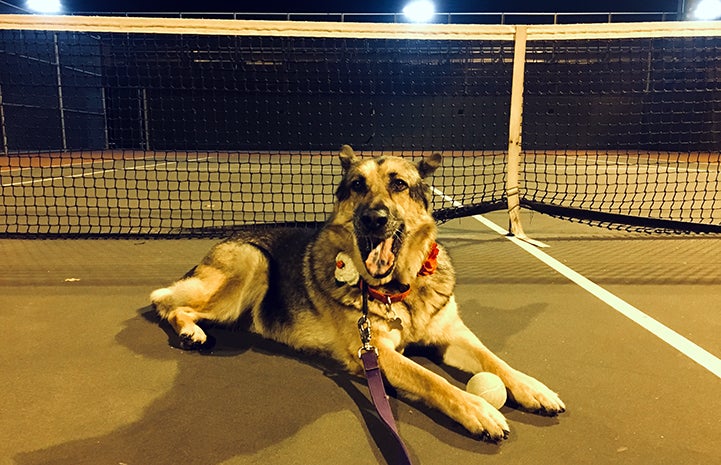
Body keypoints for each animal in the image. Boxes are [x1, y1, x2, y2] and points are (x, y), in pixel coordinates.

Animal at [149, 145, 564, 438]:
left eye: (398, 184)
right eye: (357, 186)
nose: (373, 219)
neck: (401, 289)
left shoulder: (452, 335)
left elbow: (495, 360)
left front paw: (532, 387)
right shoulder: (376, 352)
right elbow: (432, 379)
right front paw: (476, 408)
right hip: (253, 264)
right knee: (168, 303)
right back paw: (190, 331)